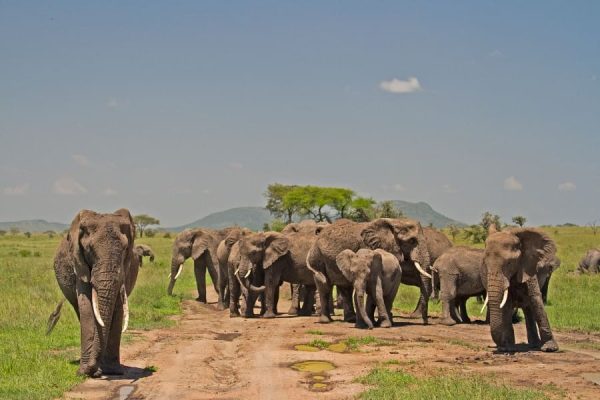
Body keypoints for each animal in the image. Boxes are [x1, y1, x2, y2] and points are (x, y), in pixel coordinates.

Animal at [47, 211, 139, 376]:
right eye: (89, 250)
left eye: (125, 249)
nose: (92, 371)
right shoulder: (79, 266)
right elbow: (86, 306)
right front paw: (85, 371)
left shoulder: (125, 271)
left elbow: (118, 307)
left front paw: (113, 371)